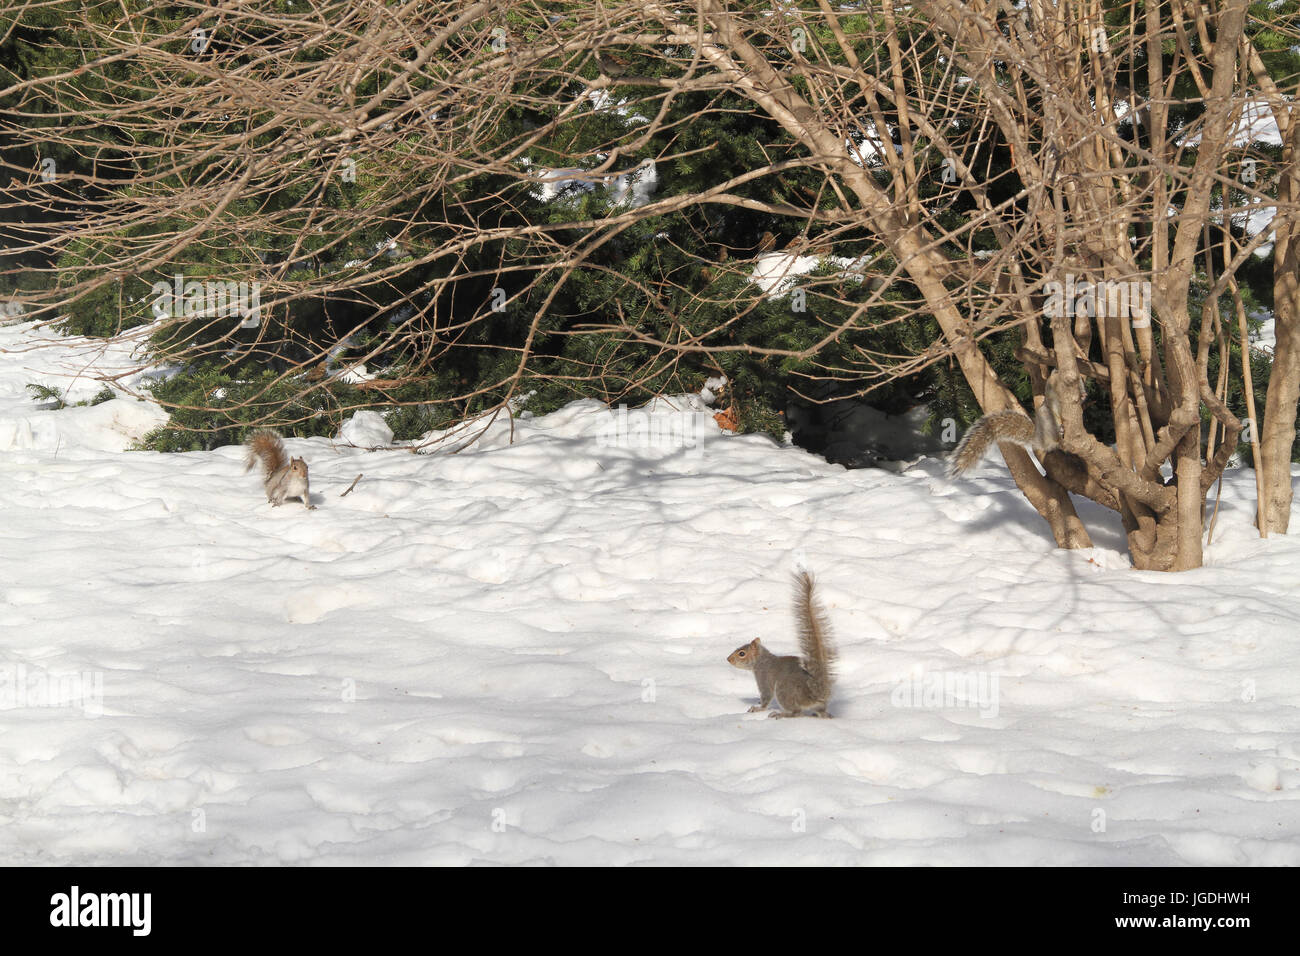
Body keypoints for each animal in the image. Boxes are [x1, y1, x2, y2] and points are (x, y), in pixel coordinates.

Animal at [728, 572, 837, 723]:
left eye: (742, 653)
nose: (728, 659)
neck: (762, 660)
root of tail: (814, 692)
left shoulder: (764, 676)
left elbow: (766, 696)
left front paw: (758, 709)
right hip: (816, 705)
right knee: (821, 712)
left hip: (783, 690)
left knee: (797, 712)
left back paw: (780, 714)